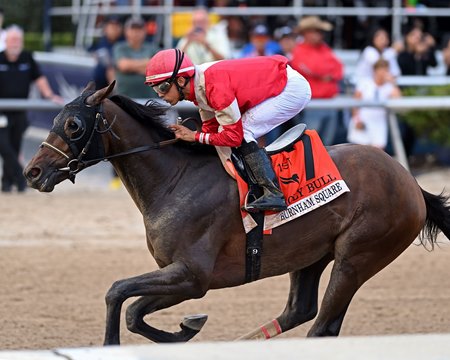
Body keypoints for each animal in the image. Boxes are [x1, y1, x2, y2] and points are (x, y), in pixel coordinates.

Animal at [23, 81, 450, 346]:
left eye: (73, 124)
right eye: (55, 118)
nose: (33, 172)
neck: (175, 179)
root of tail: (411, 182)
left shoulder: (192, 276)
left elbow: (118, 293)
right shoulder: (183, 278)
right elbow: (134, 312)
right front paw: (187, 327)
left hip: (357, 256)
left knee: (323, 326)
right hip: (311, 254)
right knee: (300, 310)